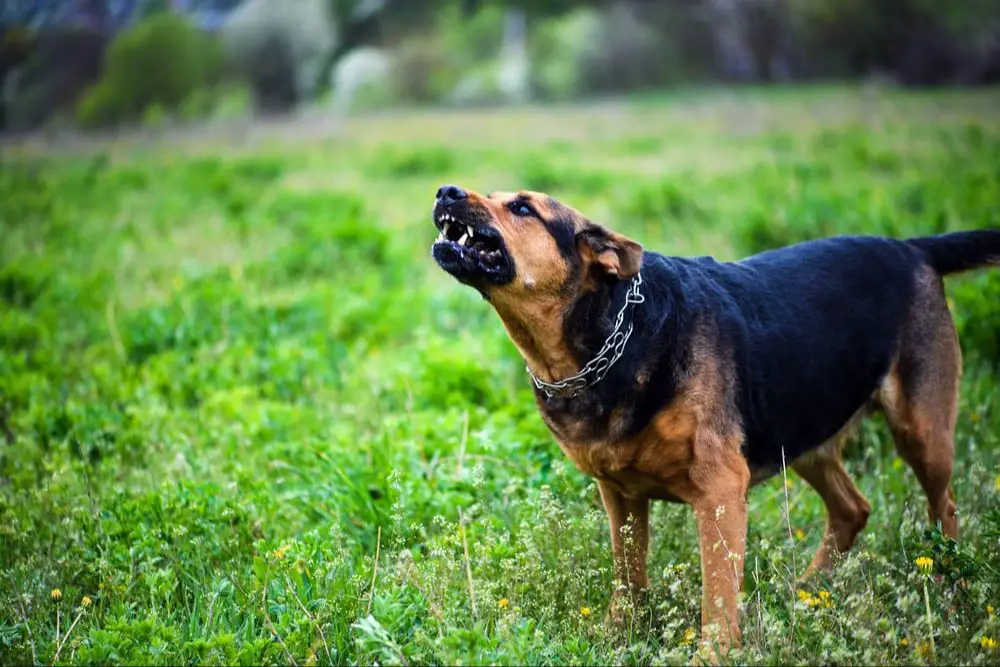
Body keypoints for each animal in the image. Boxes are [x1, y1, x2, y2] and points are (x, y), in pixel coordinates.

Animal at [430, 184, 1000, 656]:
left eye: (523, 207)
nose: (446, 191)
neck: (611, 334)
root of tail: (912, 249)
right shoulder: (620, 496)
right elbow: (627, 575)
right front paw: (618, 634)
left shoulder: (720, 489)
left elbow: (719, 590)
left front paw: (713, 654)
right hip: (802, 430)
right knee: (852, 509)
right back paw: (805, 593)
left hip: (920, 432)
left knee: (944, 510)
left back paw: (949, 592)